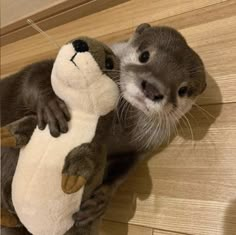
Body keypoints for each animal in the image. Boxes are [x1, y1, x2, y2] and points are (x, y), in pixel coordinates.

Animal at [0, 23, 206, 233]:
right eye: (144, 56)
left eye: (183, 90)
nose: (153, 89)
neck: (117, 129)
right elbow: (34, 73)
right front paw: (51, 105)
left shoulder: (141, 148)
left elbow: (124, 169)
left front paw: (101, 200)